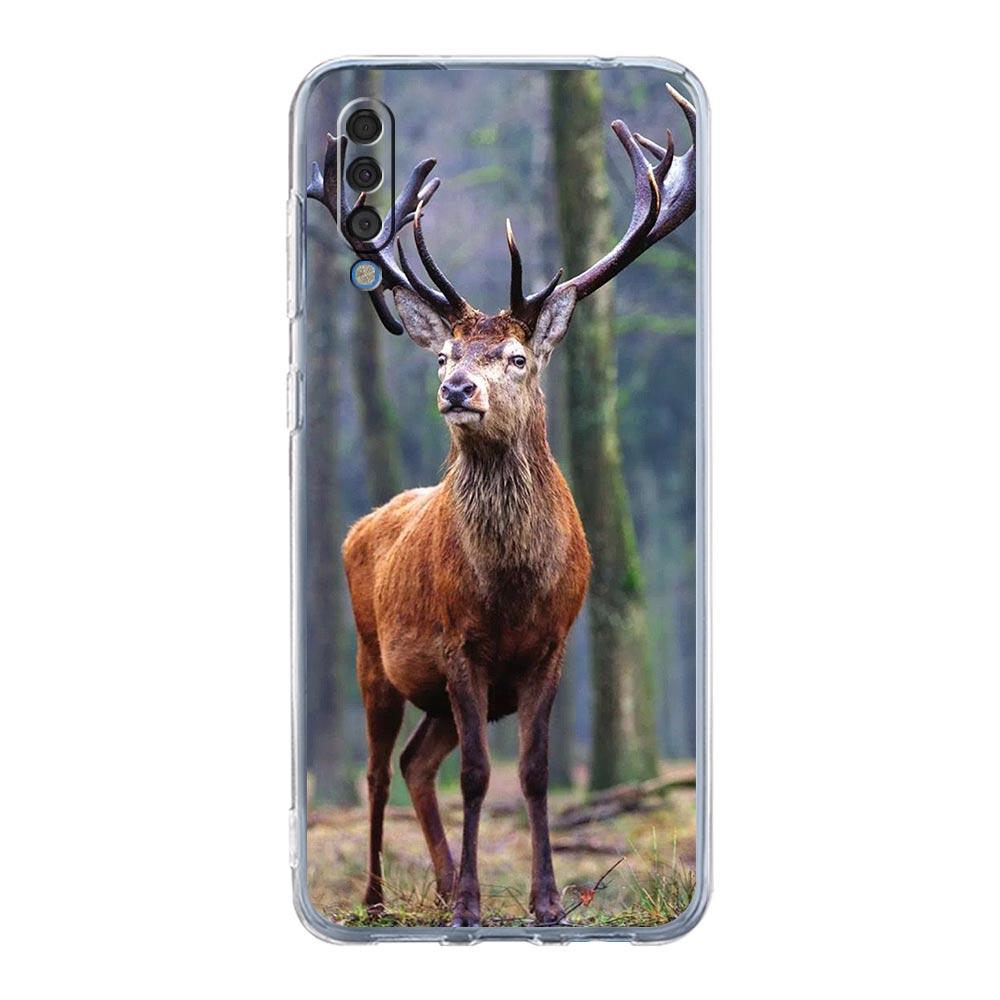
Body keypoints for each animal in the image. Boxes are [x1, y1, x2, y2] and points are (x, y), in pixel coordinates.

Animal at [307, 83, 696, 927]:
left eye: (516, 357)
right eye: (445, 354)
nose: (457, 389)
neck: (512, 588)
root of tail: (362, 523)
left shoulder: (552, 643)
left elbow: (536, 772)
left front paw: (545, 902)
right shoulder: (460, 644)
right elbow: (483, 777)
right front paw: (472, 908)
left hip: (436, 697)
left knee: (419, 764)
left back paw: (443, 880)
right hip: (371, 657)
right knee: (379, 771)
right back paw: (381, 898)